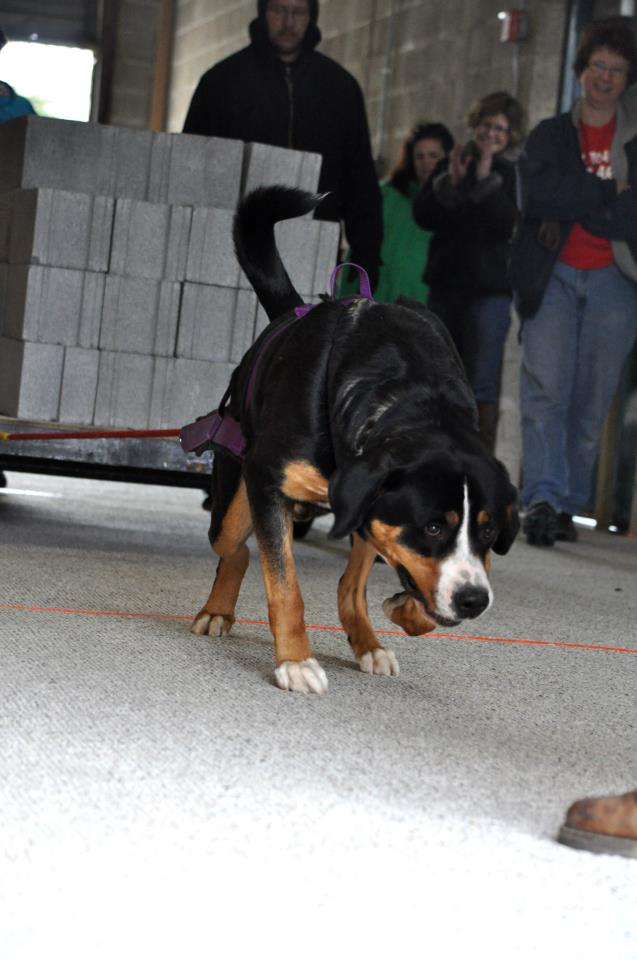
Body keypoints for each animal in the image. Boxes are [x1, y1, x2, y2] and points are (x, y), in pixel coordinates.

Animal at [188, 184, 516, 692]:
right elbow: (285, 587)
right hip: (233, 501)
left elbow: (383, 589)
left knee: (346, 587)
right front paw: (295, 661)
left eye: (488, 530)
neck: (406, 393)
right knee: (234, 550)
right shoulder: (267, 479)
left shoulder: (378, 516)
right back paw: (218, 610)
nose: (474, 601)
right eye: (433, 527)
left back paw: (369, 644)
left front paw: (403, 611)